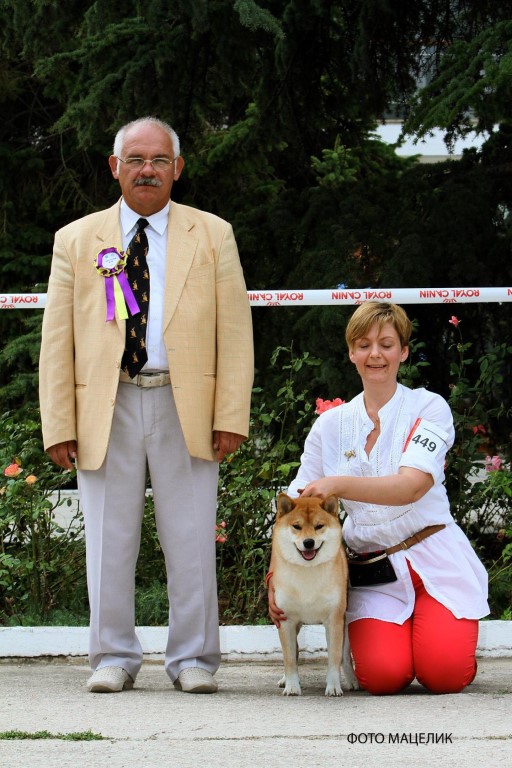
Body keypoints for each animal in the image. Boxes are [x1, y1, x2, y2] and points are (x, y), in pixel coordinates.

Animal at [270, 492, 358, 696]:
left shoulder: (334, 619)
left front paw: (333, 686)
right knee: (294, 651)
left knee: (345, 656)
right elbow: (289, 658)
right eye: (296, 526)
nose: (308, 542)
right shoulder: (286, 620)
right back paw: (285, 680)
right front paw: (292, 686)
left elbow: (334, 658)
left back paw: (351, 680)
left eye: (319, 526)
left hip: (345, 622)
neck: (307, 571)